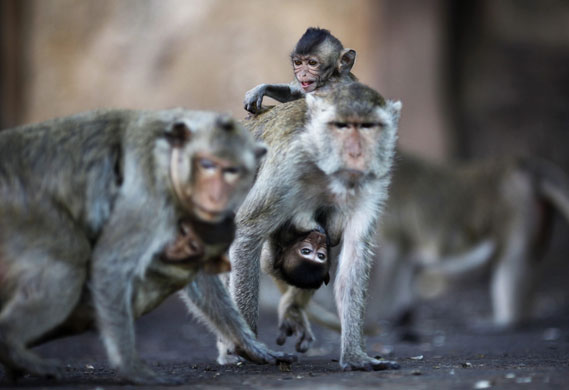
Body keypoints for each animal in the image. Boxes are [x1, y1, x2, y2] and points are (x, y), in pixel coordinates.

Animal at [0, 109, 296, 384]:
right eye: (207, 165)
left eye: (233, 170)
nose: (215, 195)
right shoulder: (149, 193)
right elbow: (110, 265)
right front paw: (132, 369)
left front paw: (248, 345)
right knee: (68, 269)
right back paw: (12, 345)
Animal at [220, 83, 402, 372]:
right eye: (341, 126)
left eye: (368, 126)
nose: (355, 152)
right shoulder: (287, 169)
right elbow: (247, 232)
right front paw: (250, 348)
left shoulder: (374, 180)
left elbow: (354, 255)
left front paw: (355, 355)